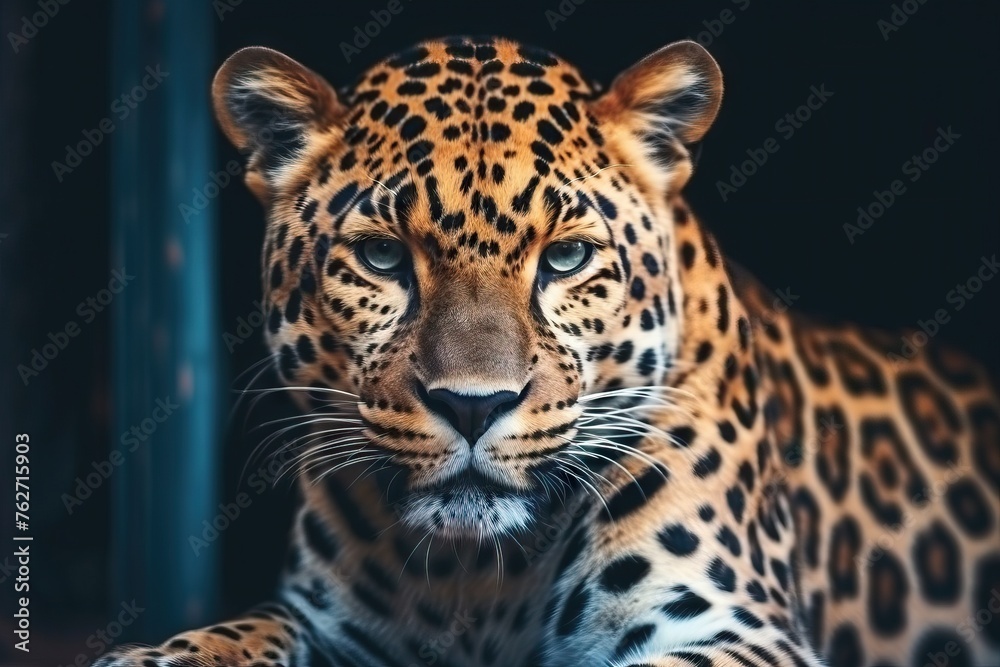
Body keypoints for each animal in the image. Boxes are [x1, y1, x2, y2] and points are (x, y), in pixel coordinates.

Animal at [95, 36, 1000, 667]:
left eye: (564, 258)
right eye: (383, 257)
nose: (472, 406)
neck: (472, 580)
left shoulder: (730, 625)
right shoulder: (332, 624)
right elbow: (247, 628)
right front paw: (160, 654)